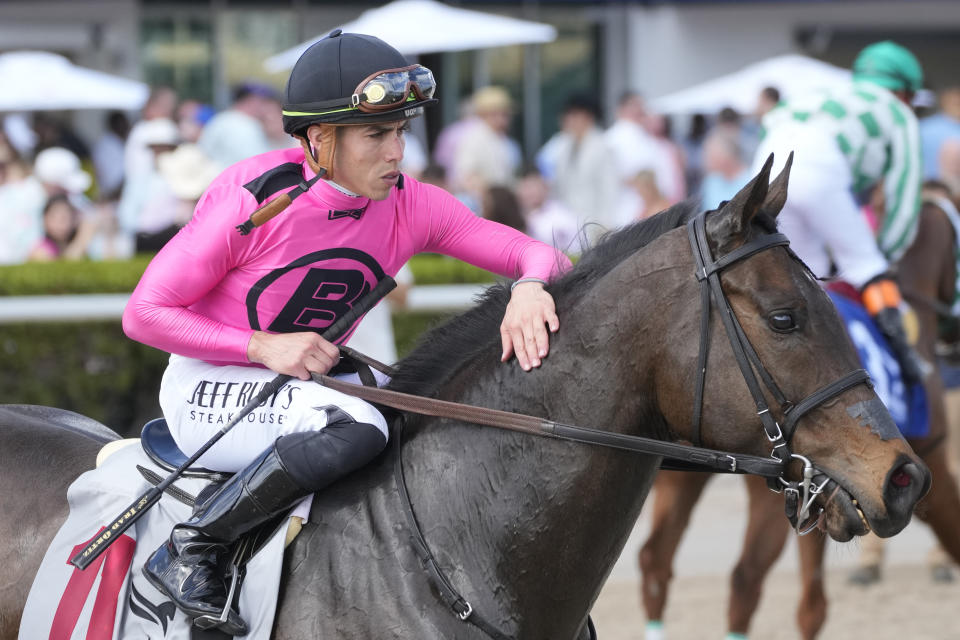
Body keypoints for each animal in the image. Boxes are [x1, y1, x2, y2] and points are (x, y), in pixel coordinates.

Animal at [636, 198, 960, 636]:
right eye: (783, 319)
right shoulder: (932, 467)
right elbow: (813, 607)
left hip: (683, 479)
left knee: (656, 561)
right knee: (744, 578)